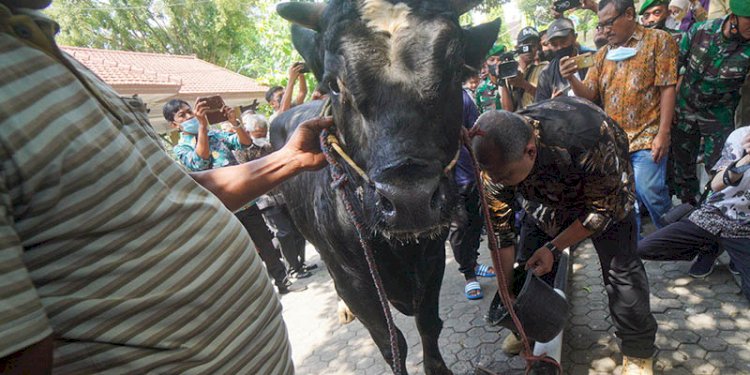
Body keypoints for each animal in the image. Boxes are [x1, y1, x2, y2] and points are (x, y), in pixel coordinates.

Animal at [268, 1, 500, 374]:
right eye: (333, 84)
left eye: (454, 71)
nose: (410, 201)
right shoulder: (355, 282)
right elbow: (392, 345)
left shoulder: (432, 258)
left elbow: (428, 324)